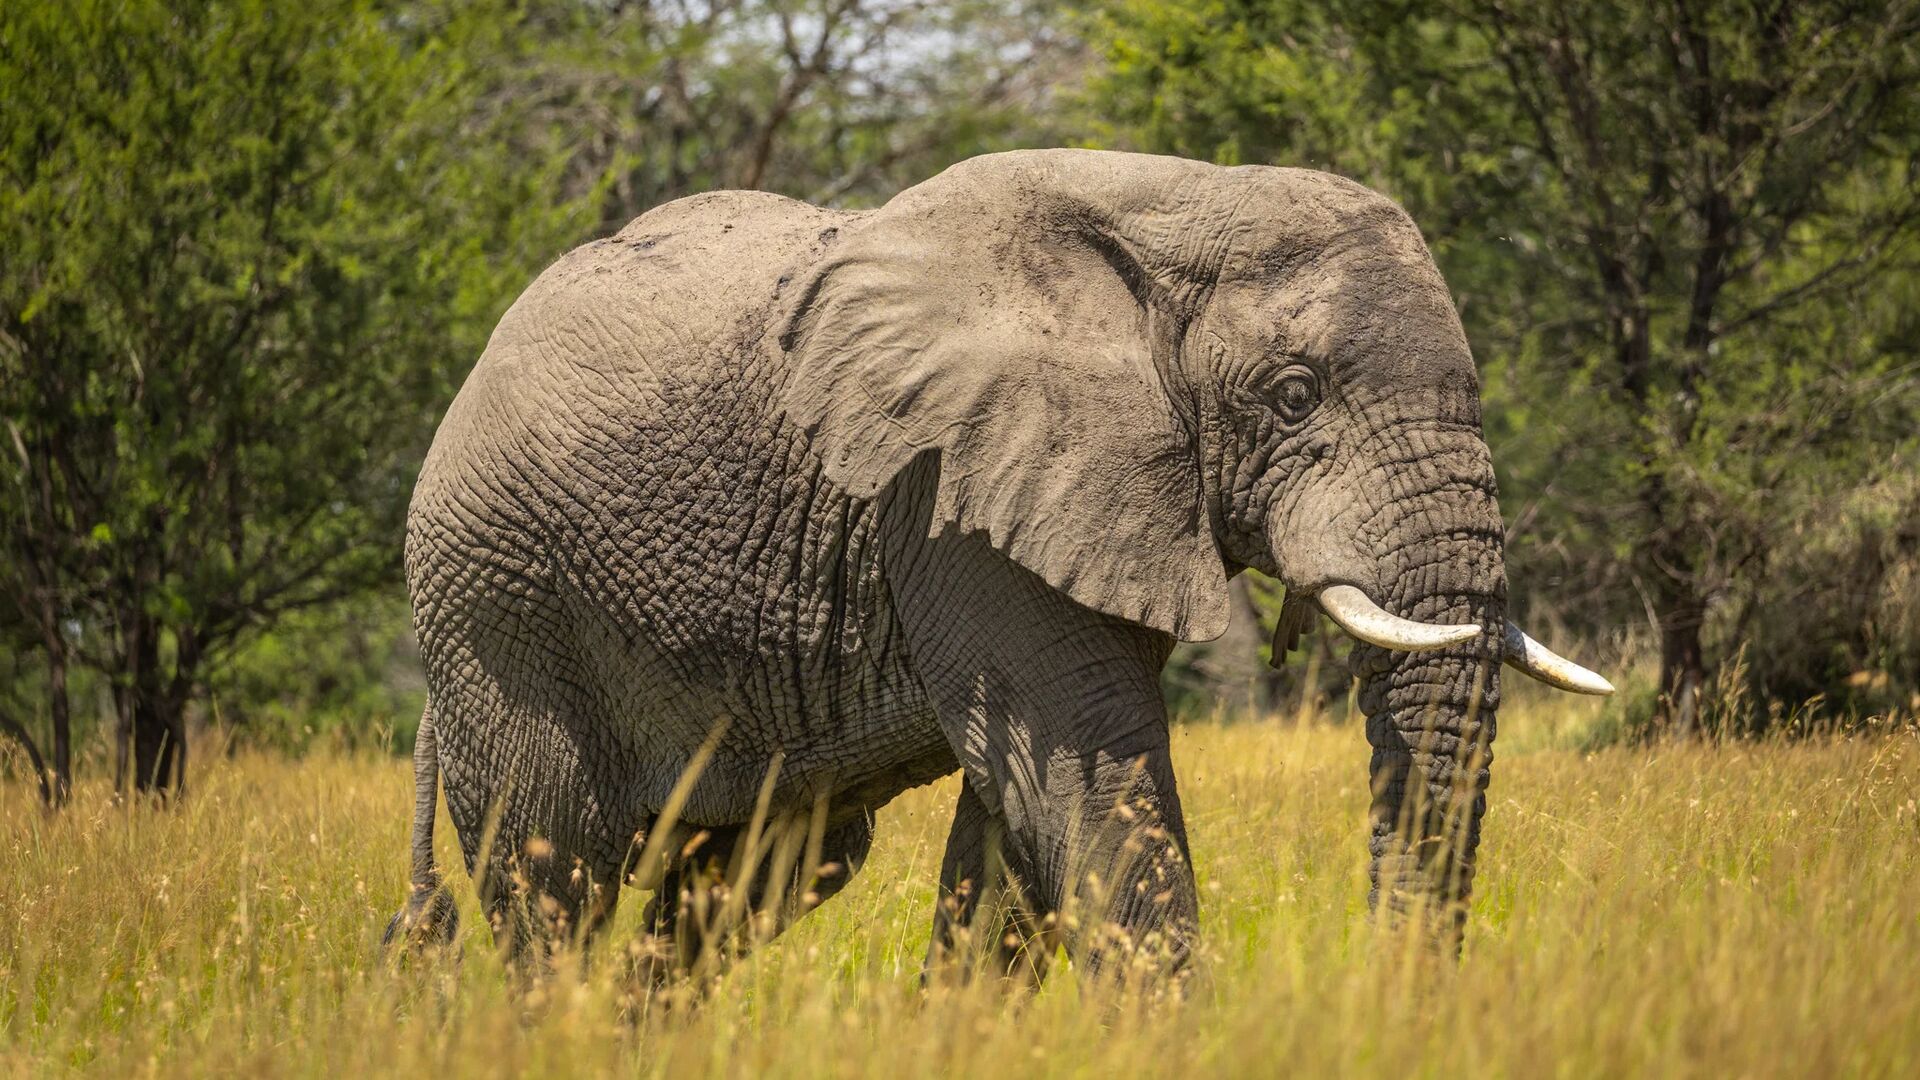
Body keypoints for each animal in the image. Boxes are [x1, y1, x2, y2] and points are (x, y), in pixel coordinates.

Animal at [384, 148, 1611, 983]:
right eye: (1295, 394)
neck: (1177, 211)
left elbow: (1015, 830)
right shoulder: (950, 493)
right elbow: (1086, 780)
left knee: (756, 872)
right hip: (500, 598)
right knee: (554, 880)